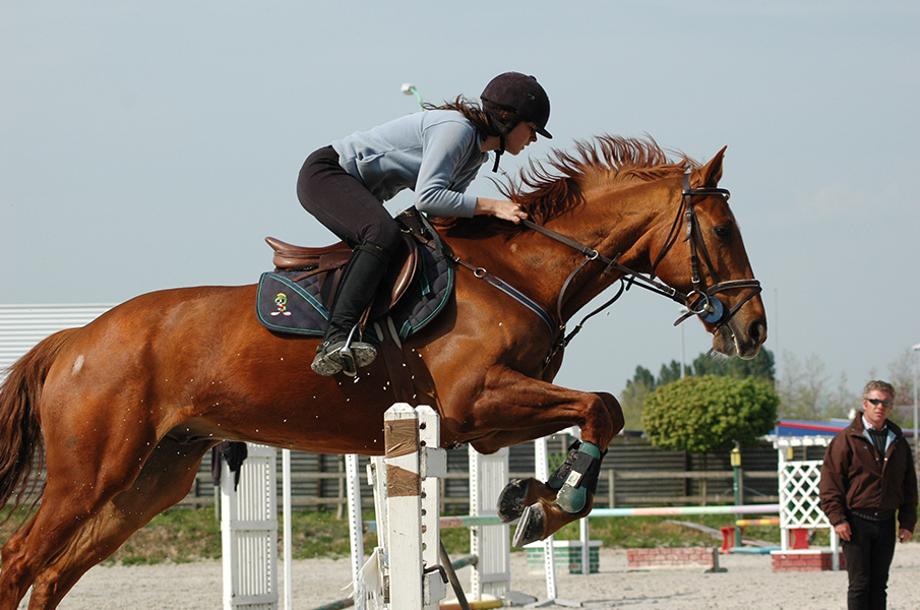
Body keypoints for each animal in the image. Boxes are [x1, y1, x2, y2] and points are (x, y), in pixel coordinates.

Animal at [0, 135, 760, 604]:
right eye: (723, 232)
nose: (753, 330)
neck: (517, 271)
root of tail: (74, 339)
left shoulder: (484, 424)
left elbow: (597, 412)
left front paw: (529, 500)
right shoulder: (475, 401)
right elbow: (604, 404)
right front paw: (553, 505)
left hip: (151, 479)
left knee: (54, 572)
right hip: (91, 474)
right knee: (22, 563)